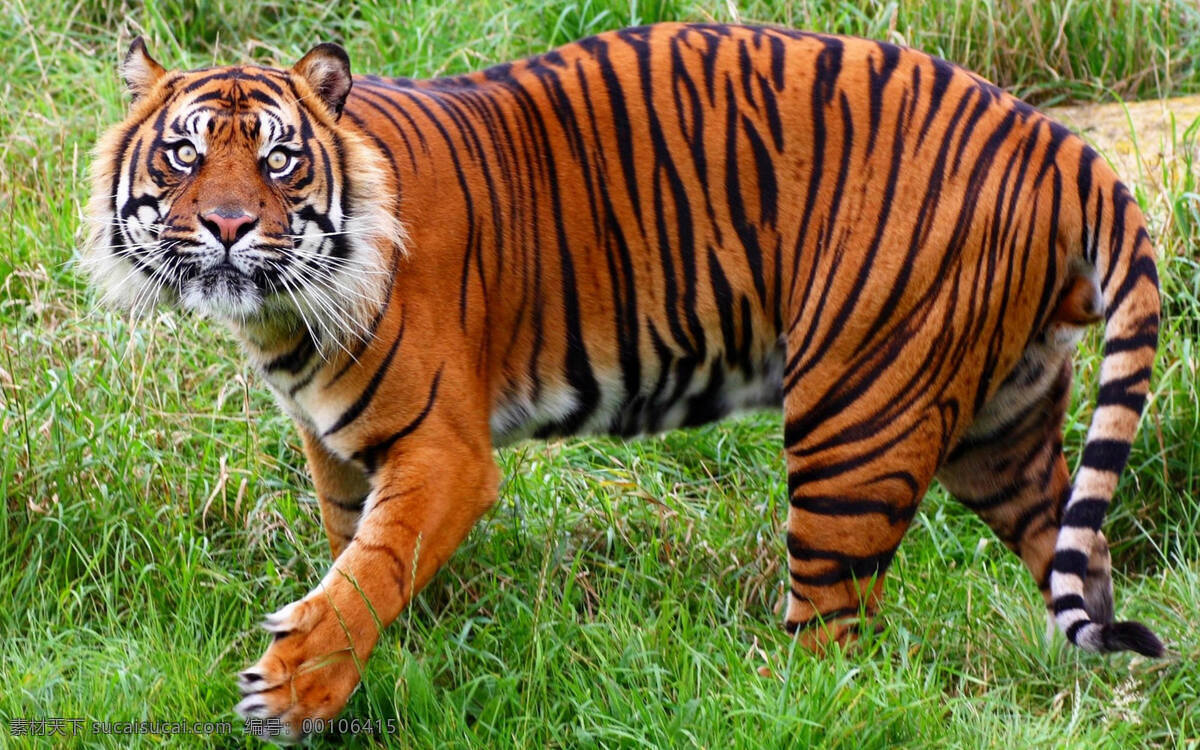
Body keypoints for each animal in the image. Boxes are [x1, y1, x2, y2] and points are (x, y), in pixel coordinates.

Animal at [83, 23, 1164, 740]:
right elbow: (366, 559)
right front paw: (394, 675)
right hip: (1001, 424)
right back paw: (1112, 701)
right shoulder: (342, 453)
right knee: (1082, 562)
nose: (228, 226)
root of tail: (1057, 141)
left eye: (278, 160)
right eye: (183, 154)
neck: (285, 315)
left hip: (859, 412)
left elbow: (371, 572)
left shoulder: (443, 452)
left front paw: (294, 689)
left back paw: (771, 704)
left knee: (836, 634)